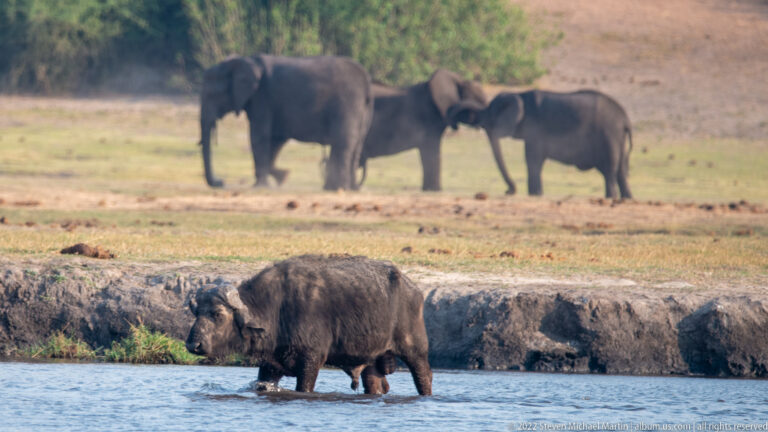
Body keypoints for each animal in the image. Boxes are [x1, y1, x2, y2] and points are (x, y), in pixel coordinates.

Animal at [199, 55, 373, 191]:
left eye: (212, 94)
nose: (221, 182)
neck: (240, 61)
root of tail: (366, 81)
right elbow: (276, 140)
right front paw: (283, 177)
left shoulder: (263, 97)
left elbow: (259, 136)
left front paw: (261, 186)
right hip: (362, 110)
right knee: (356, 145)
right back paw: (349, 188)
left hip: (347, 104)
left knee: (343, 143)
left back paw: (337, 188)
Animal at [448, 90, 633, 199]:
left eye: (491, 120)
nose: (509, 191)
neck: (519, 95)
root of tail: (625, 118)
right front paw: (536, 194)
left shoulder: (534, 128)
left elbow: (532, 160)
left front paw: (535, 194)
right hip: (616, 138)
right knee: (620, 173)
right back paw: (625, 198)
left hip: (609, 134)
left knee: (610, 172)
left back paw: (611, 198)